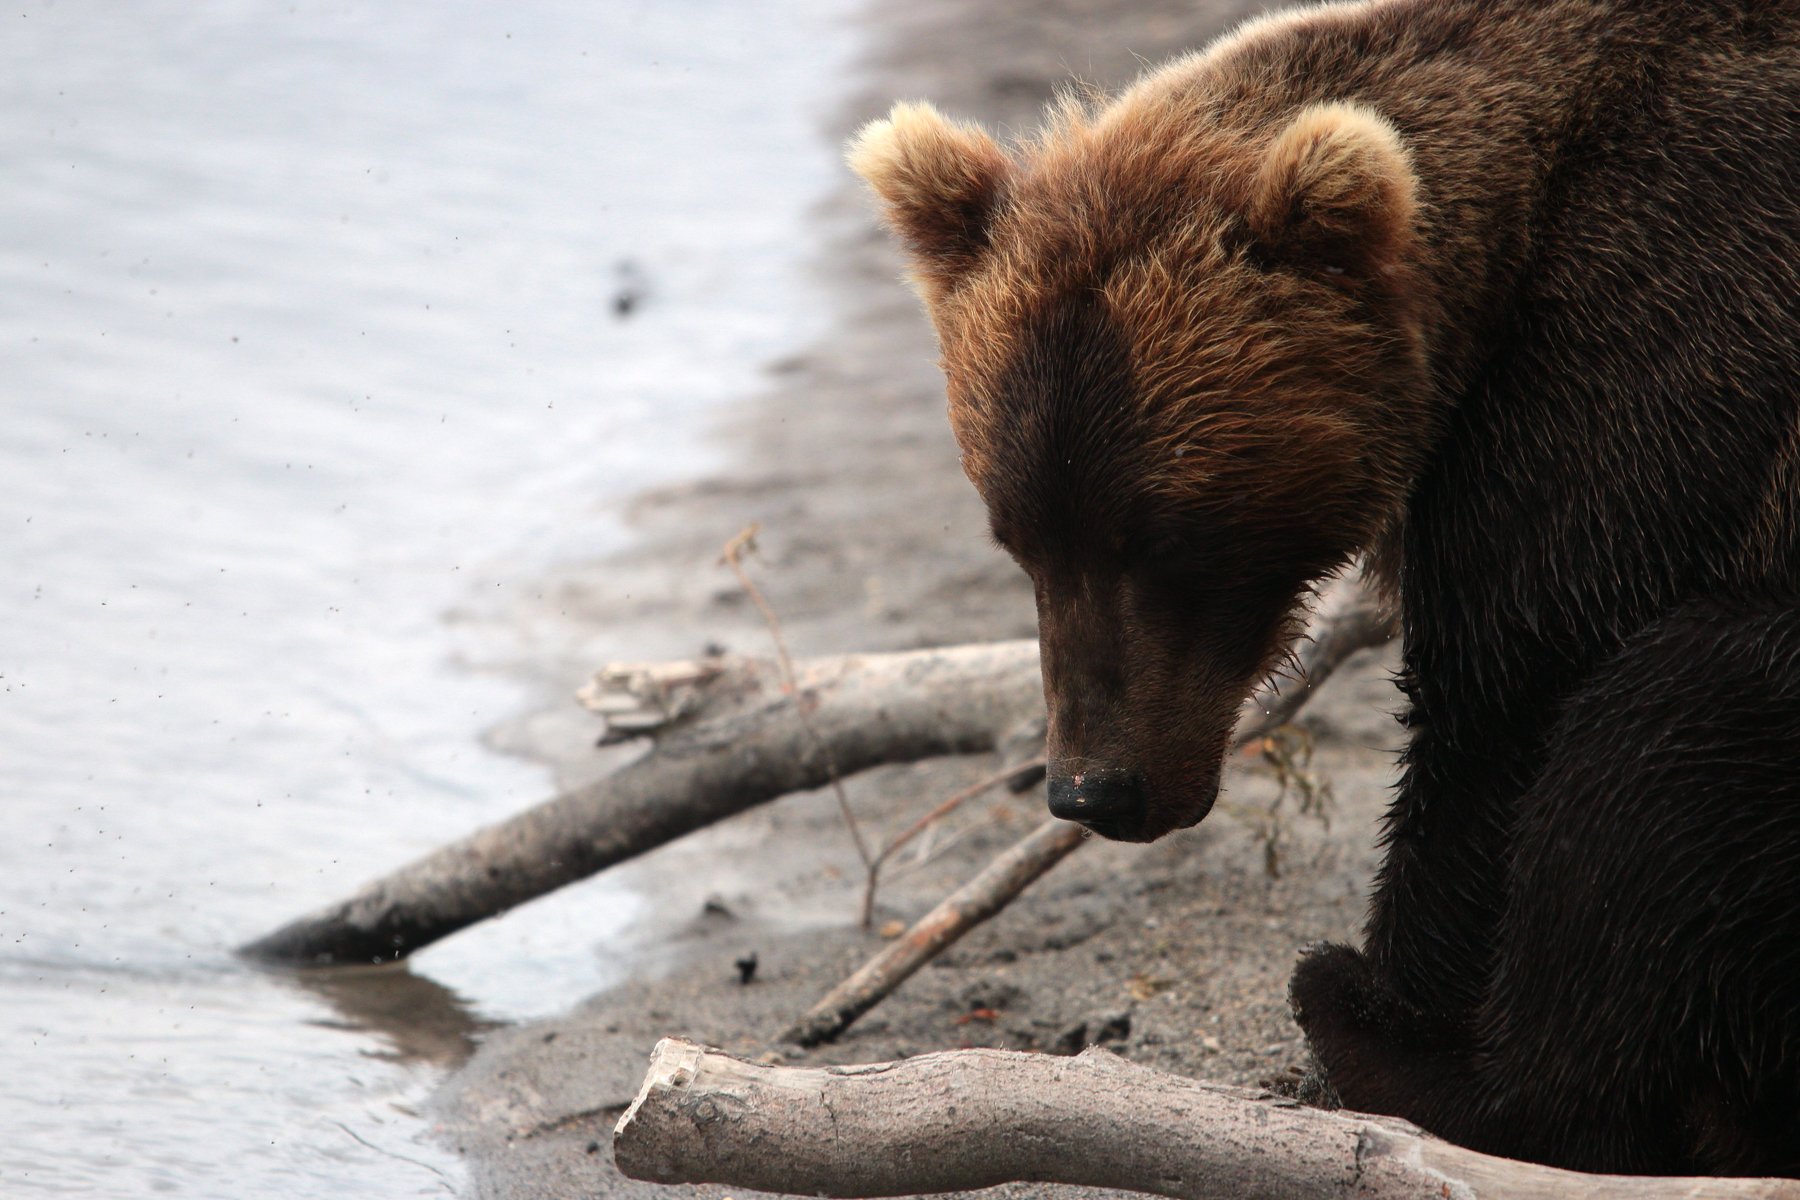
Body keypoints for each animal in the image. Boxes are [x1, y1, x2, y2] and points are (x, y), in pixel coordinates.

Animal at [849, 0, 1800, 1180]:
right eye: (1020, 538)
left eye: (1165, 537)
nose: (1095, 790)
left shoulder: (1658, 354)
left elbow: (1507, 699)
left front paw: (1396, 1016)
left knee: (1672, 722)